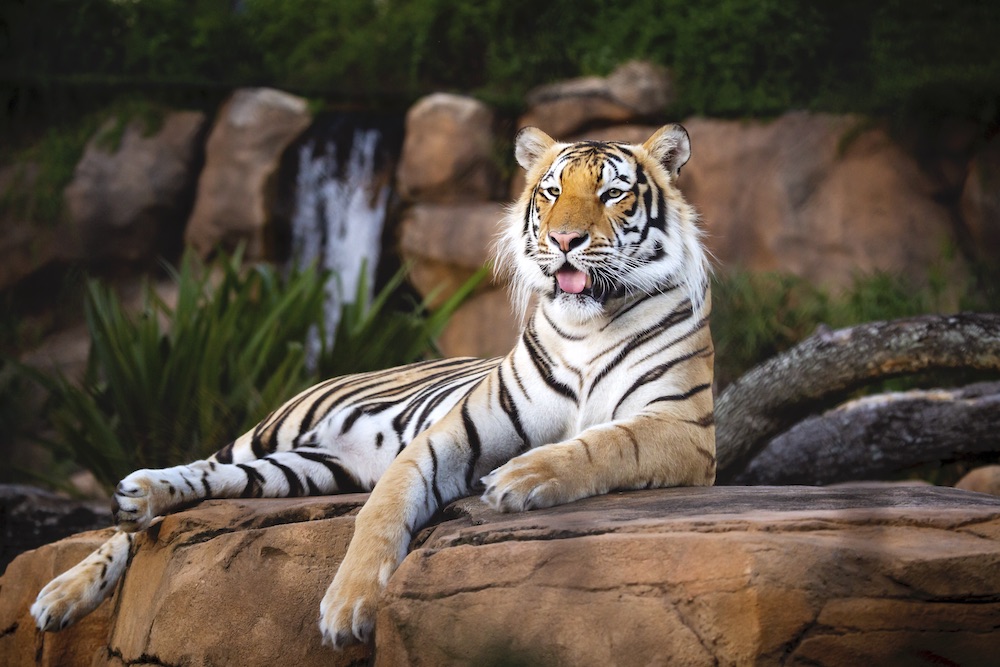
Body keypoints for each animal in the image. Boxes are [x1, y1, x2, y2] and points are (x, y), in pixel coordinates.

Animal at [31, 123, 715, 648]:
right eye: (550, 193)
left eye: (612, 194)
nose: (564, 240)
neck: (585, 326)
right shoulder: (457, 432)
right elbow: (383, 509)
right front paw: (348, 608)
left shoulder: (681, 428)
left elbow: (604, 442)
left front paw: (522, 476)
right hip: (272, 432)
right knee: (166, 494)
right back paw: (77, 570)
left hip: (301, 470)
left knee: (213, 481)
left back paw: (140, 502)